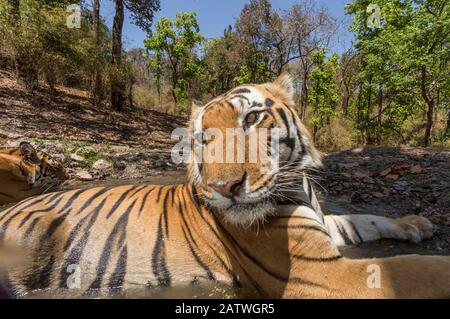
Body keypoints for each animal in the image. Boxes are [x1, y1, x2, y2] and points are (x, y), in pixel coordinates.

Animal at [0, 74, 448, 298]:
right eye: (202, 138)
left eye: (251, 118)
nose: (224, 187)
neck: (300, 186)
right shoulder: (322, 275)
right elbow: (418, 271)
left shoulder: (325, 225)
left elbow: (365, 219)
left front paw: (415, 223)